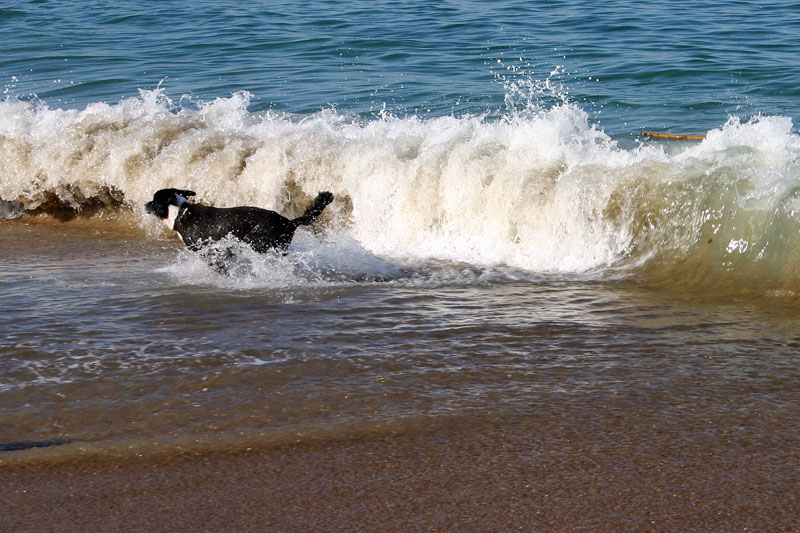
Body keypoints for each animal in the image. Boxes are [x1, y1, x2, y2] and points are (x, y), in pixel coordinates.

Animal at [145, 189, 332, 258]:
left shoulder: (207, 249)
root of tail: (288, 222)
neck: (180, 212)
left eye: (154, 200)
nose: (145, 204)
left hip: (258, 242)